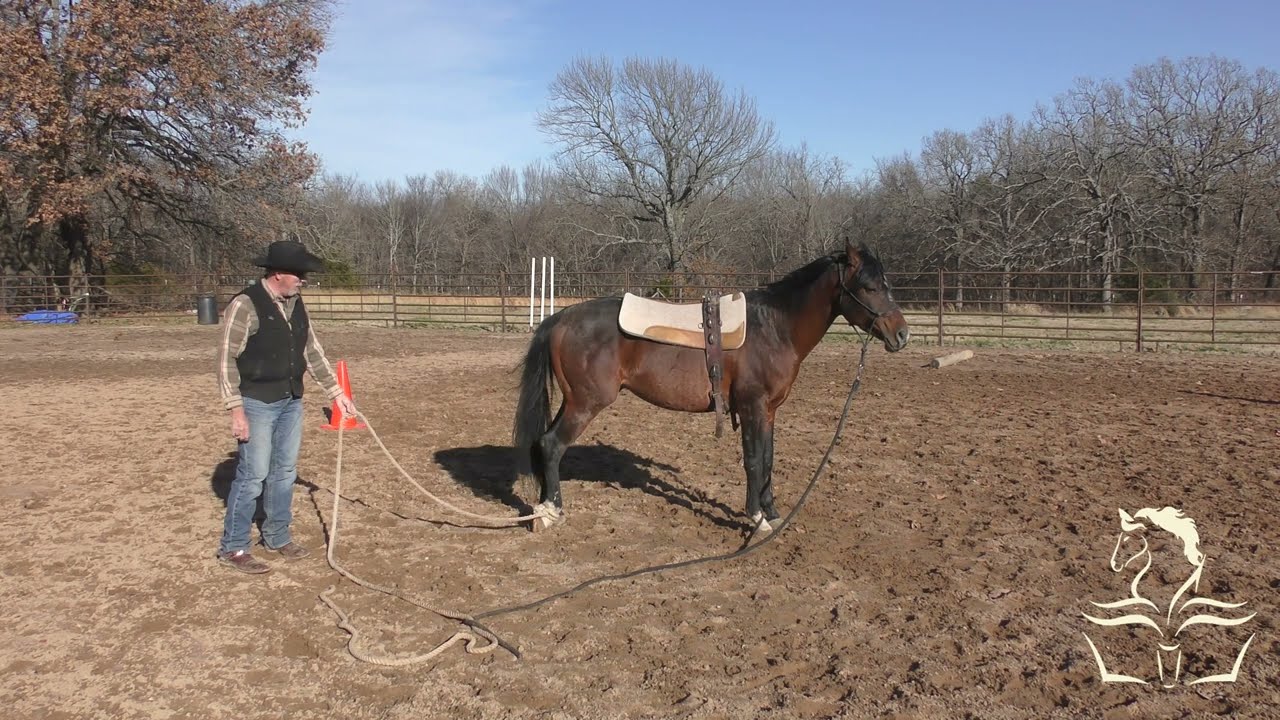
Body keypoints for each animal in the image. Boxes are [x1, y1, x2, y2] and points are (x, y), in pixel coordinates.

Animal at [512, 238, 910, 536]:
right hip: (586, 404)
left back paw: (544, 509)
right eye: (870, 287)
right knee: (552, 445)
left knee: (543, 444)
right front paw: (757, 519)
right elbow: (753, 460)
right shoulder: (752, 407)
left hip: (572, 401)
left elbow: (769, 459)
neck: (774, 327)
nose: (902, 334)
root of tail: (560, 318)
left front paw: (772, 512)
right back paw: (550, 512)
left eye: (887, 285)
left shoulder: (769, 411)